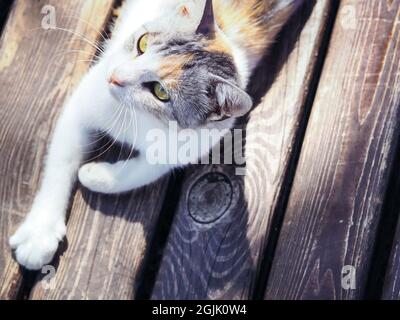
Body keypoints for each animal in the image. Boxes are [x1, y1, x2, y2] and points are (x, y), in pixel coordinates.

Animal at [9, 0, 302, 270]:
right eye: (143, 42)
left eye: (160, 92)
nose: (115, 77)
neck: (141, 118)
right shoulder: (82, 105)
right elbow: (61, 164)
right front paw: (39, 234)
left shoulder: (186, 146)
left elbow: (140, 171)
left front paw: (94, 174)